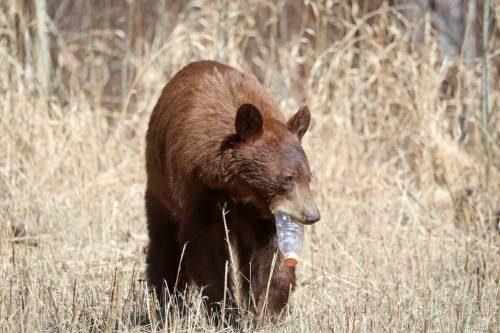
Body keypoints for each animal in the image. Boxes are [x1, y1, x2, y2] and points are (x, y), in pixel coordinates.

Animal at [145, 60, 320, 320]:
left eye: (309, 177)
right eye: (288, 177)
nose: (312, 215)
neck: (241, 188)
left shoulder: (264, 215)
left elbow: (272, 255)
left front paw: (268, 311)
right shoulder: (198, 190)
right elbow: (205, 247)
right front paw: (226, 313)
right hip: (159, 189)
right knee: (164, 246)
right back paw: (167, 305)